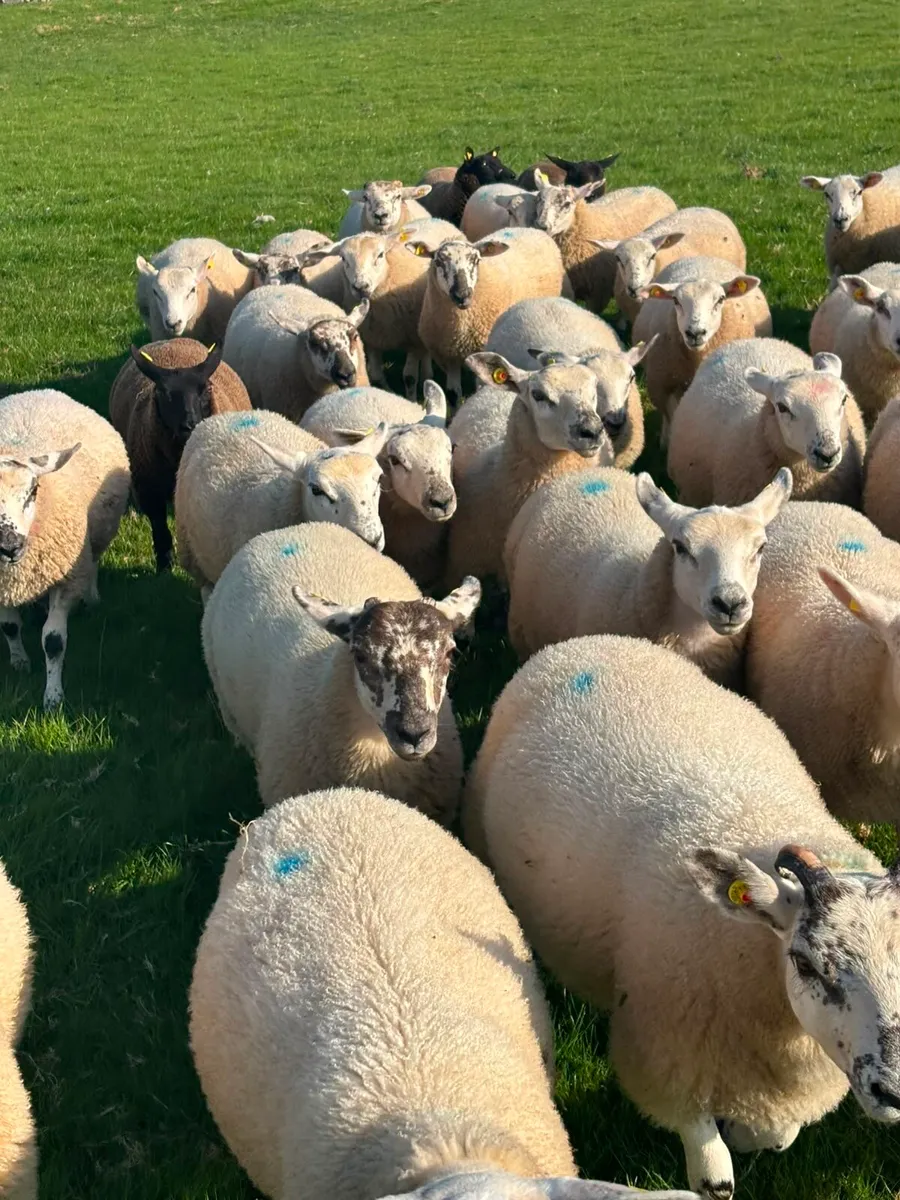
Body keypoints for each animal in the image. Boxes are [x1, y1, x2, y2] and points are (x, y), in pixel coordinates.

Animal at [0, 389, 129, 709]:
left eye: (33, 491)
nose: (10, 547)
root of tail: (39, 391)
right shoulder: (3, 587)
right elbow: (9, 626)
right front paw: (19, 661)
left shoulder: (66, 578)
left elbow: (53, 641)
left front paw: (53, 697)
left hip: (95, 536)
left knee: (93, 561)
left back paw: (92, 597)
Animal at [108, 339, 250, 573]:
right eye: (162, 393)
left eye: (206, 388)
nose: (189, 425)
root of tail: (171, 341)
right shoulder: (148, 492)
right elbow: (160, 530)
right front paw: (164, 566)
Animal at [301, 220, 460, 398]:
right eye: (343, 258)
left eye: (380, 255)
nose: (361, 287)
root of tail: (436, 219)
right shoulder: (372, 340)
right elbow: (376, 377)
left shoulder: (413, 339)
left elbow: (410, 377)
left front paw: (412, 399)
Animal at [415, 229, 569, 404]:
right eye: (438, 262)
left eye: (476, 260)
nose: (462, 295)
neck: (461, 329)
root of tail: (531, 229)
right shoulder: (448, 356)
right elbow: (453, 394)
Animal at [463, 632, 900, 1200]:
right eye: (805, 963)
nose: (892, 1090)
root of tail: (591, 640)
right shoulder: (672, 1057)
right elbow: (713, 1178)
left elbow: (771, 1137)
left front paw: (750, 1130)